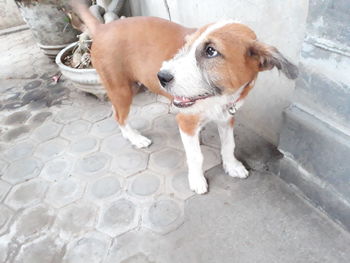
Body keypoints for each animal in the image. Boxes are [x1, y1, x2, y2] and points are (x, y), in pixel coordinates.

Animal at [72, 1, 296, 195]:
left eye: (211, 51)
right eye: (187, 46)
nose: (161, 77)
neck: (219, 98)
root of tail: (102, 28)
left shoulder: (227, 117)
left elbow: (229, 144)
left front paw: (232, 165)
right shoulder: (186, 121)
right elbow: (196, 156)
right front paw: (197, 180)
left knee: (116, 113)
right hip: (122, 89)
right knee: (120, 116)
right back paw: (135, 138)